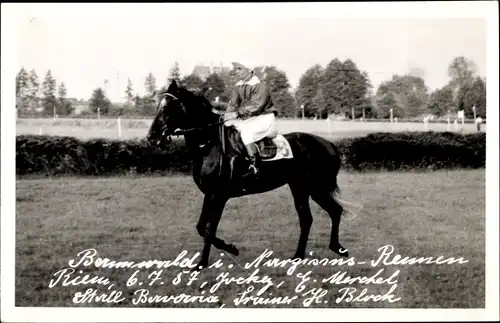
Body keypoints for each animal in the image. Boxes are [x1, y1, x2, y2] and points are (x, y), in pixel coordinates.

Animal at [146, 80, 348, 270]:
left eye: (169, 107)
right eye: (158, 106)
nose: (152, 137)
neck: (211, 144)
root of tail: (329, 144)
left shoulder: (219, 195)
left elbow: (209, 229)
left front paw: (205, 261)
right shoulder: (209, 194)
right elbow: (201, 227)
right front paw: (227, 248)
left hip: (316, 188)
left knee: (334, 211)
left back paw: (337, 248)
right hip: (299, 187)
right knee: (308, 218)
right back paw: (299, 256)